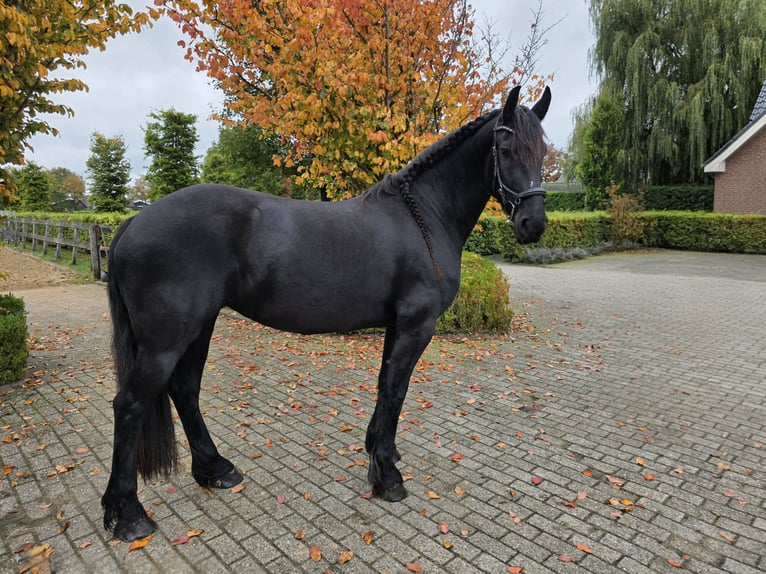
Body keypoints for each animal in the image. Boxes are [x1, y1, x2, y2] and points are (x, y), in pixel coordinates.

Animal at [101, 85, 551, 541]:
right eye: (506, 148)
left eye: (543, 152)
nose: (533, 224)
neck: (422, 217)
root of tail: (135, 220)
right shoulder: (415, 326)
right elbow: (396, 391)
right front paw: (386, 478)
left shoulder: (396, 326)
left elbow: (384, 387)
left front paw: (379, 451)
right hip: (167, 340)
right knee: (130, 405)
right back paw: (129, 515)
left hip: (199, 327)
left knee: (184, 390)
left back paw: (215, 470)